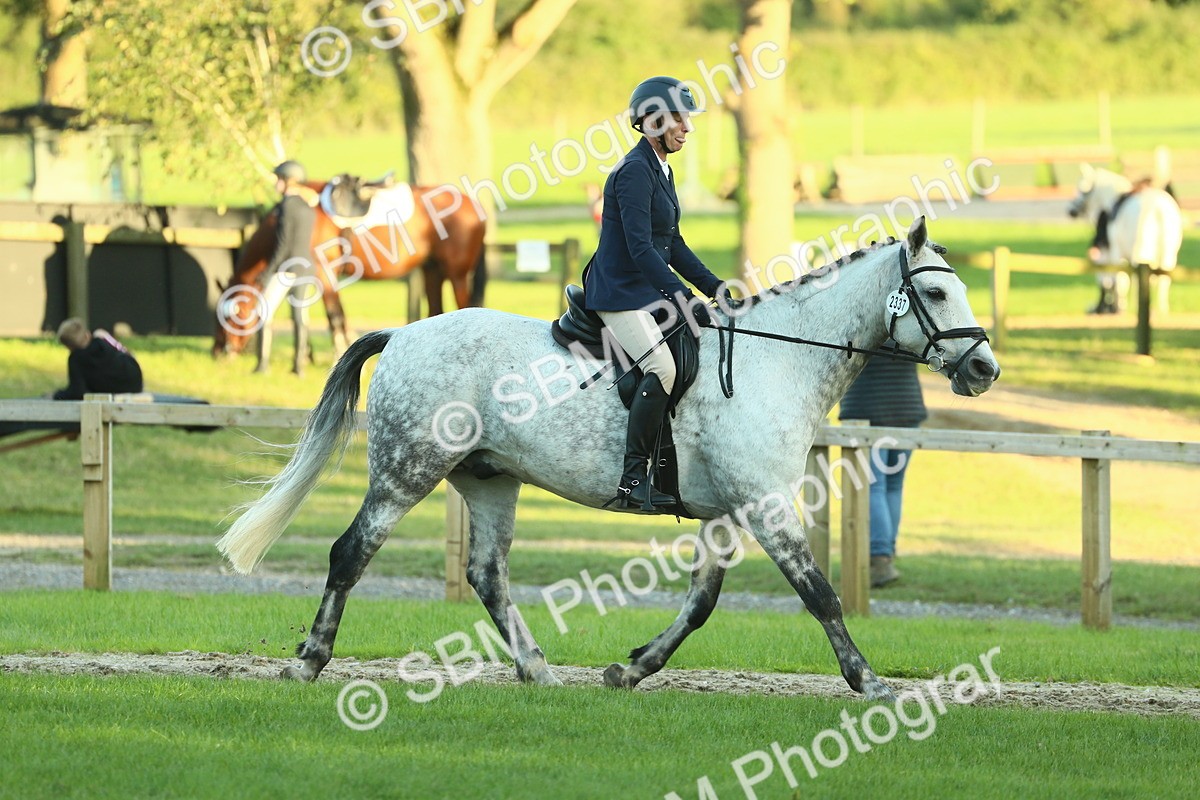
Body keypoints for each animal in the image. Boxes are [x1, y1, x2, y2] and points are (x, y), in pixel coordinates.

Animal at [213, 175, 488, 372]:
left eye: (231, 316)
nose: (220, 351)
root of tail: (476, 207)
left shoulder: (325, 273)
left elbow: (335, 316)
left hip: (457, 275)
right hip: (433, 271)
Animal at [217, 216, 1000, 701]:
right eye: (935, 291)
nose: (984, 368)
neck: (777, 359)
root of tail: (403, 332)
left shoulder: (725, 513)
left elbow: (701, 604)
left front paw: (631, 670)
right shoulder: (766, 503)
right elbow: (820, 594)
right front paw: (869, 682)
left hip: (488, 480)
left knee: (487, 574)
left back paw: (537, 669)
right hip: (408, 470)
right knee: (351, 553)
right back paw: (308, 662)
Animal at [1068, 163, 1183, 315]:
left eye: (1082, 189)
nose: (1070, 210)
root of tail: (1159, 210)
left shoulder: (1116, 253)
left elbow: (1120, 279)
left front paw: (1119, 307)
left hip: (1141, 251)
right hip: (1169, 254)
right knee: (1163, 278)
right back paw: (1162, 309)